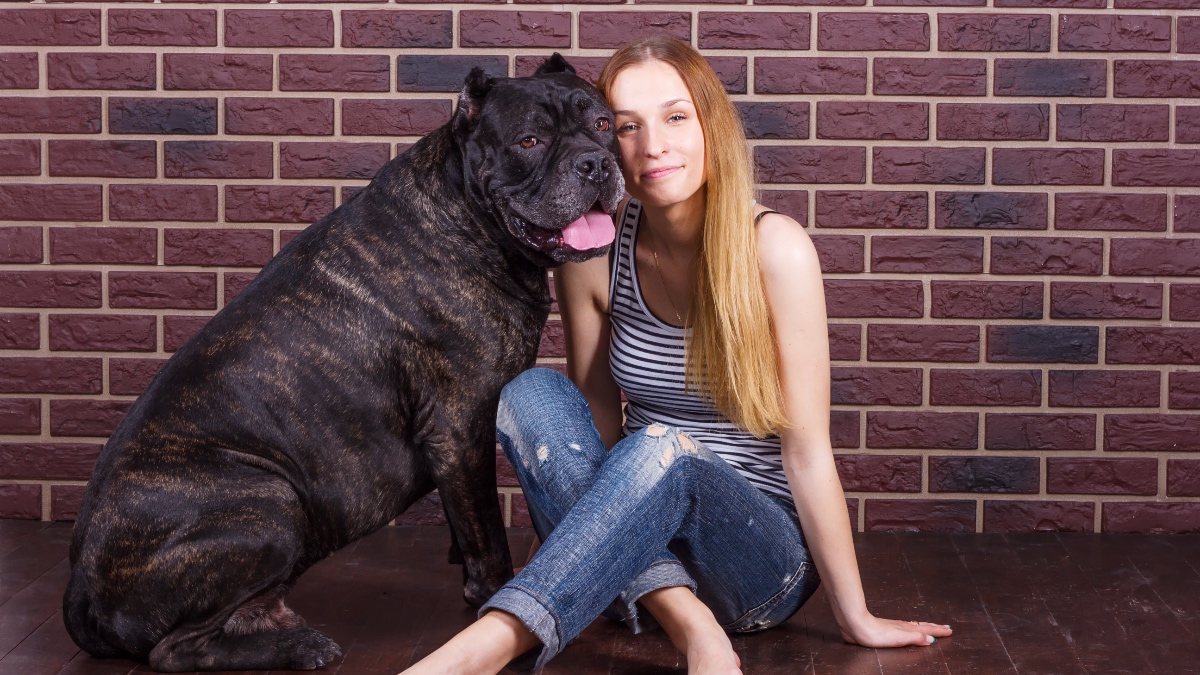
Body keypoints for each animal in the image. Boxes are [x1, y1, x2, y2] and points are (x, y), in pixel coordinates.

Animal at [60, 55, 624, 667]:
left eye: (603, 125)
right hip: (270, 504)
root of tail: (80, 590)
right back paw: (301, 646)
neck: (469, 219)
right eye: (529, 140)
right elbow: (488, 535)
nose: (595, 163)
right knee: (174, 650)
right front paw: (493, 597)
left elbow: (465, 519)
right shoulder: (460, 424)